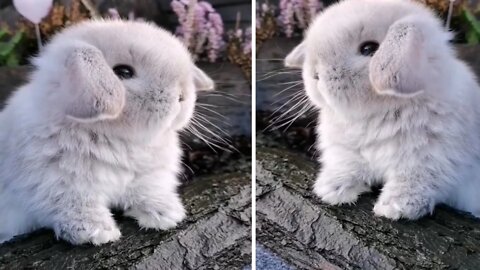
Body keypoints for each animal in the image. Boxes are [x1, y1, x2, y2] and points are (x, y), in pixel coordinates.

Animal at [0, 20, 214, 246]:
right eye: (123, 72)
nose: (182, 96)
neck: (117, 138)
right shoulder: (58, 186)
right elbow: (75, 206)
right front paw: (97, 232)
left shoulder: (148, 176)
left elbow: (148, 191)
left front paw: (166, 214)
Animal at [286, 0, 480, 219]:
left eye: (369, 48)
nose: (315, 75)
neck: (378, 112)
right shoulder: (346, 151)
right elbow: (347, 166)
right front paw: (331, 190)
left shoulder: (431, 161)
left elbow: (415, 183)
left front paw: (394, 208)